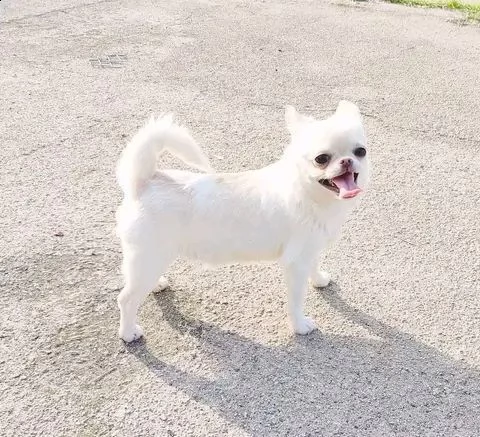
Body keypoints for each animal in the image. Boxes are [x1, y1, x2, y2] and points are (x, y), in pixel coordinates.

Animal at [115, 101, 368, 340]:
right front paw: (300, 326)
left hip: (150, 259)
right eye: (321, 159)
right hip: (149, 258)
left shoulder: (310, 249)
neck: (308, 193)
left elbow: (314, 265)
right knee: (126, 299)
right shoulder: (296, 263)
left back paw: (157, 284)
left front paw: (319, 279)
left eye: (361, 151)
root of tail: (144, 182)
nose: (347, 161)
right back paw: (128, 333)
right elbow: (296, 301)